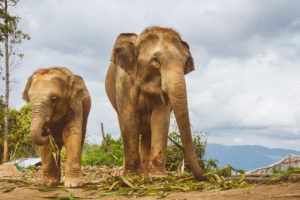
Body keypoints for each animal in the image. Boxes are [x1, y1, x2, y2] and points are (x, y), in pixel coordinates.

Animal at [105, 26, 204, 180]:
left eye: (185, 63)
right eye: (155, 60)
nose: (204, 176)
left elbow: (161, 118)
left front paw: (157, 176)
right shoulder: (123, 83)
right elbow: (128, 119)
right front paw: (131, 175)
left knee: (147, 133)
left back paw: (144, 172)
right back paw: (125, 173)